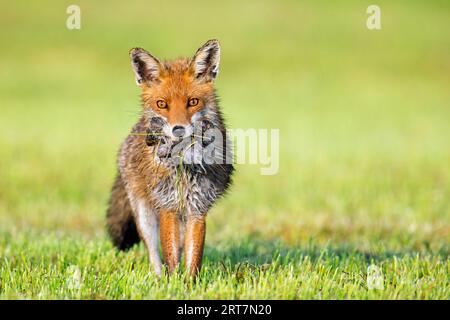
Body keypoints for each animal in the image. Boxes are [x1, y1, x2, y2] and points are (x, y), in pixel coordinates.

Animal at [107, 39, 234, 276]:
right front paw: (172, 281)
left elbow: (192, 258)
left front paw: (190, 282)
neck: (184, 166)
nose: (178, 130)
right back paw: (157, 277)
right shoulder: (167, 206)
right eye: (161, 104)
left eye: (193, 102)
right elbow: (170, 256)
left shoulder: (197, 208)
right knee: (152, 252)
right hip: (144, 214)